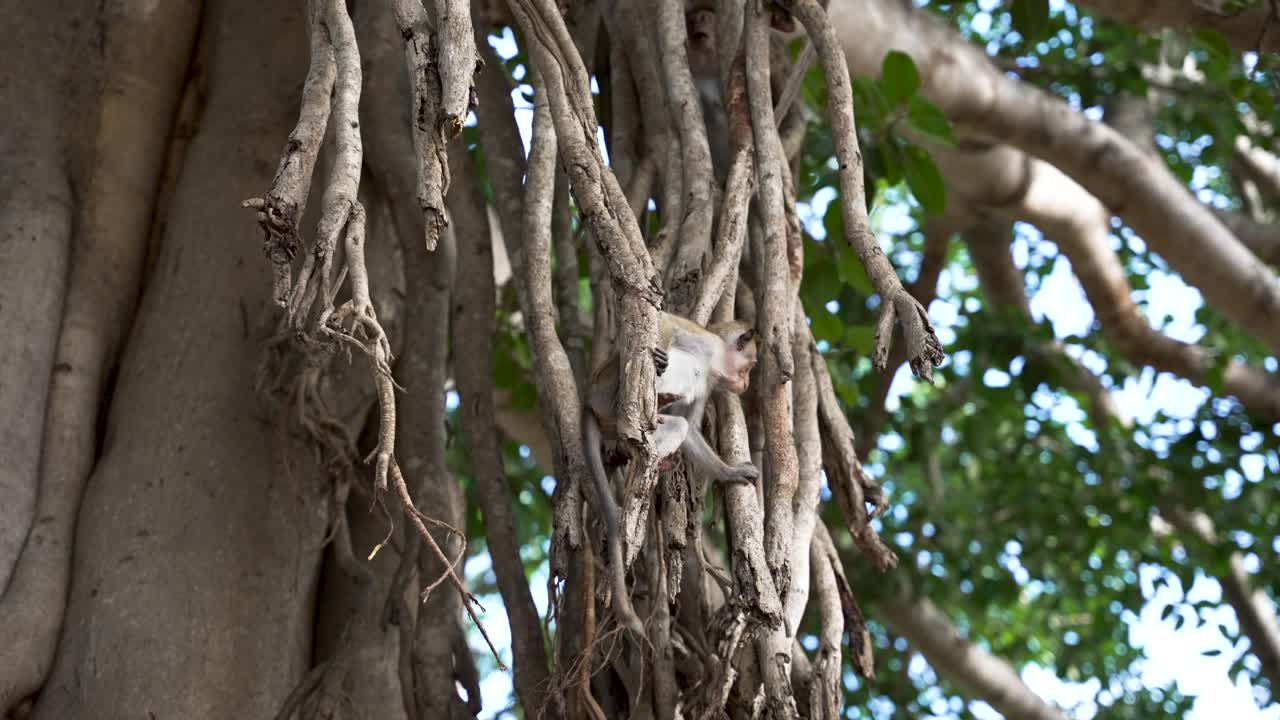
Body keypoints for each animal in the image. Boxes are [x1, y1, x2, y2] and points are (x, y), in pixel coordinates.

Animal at [581, 312, 760, 644]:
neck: (716, 361)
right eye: (750, 366)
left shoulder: (708, 382)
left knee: (677, 425)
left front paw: (729, 472)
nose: (746, 383)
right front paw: (657, 354)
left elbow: (690, 428)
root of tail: (589, 400)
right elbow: (665, 321)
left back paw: (652, 456)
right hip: (606, 386)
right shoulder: (706, 343)